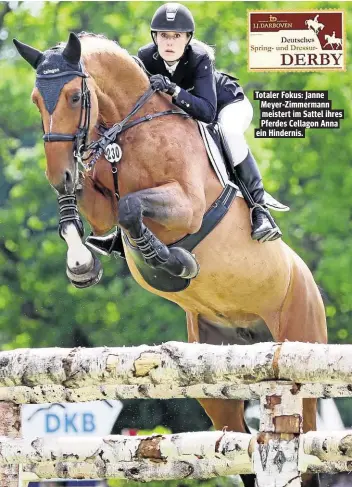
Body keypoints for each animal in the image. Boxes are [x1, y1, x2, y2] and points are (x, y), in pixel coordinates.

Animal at [14, 32, 328, 486]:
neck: (132, 128)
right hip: (216, 383)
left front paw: (175, 262)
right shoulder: (100, 204)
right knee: (239, 442)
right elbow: (86, 214)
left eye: (74, 96)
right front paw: (82, 265)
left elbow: (132, 208)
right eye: (38, 100)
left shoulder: (187, 205)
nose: (59, 176)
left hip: (299, 354)